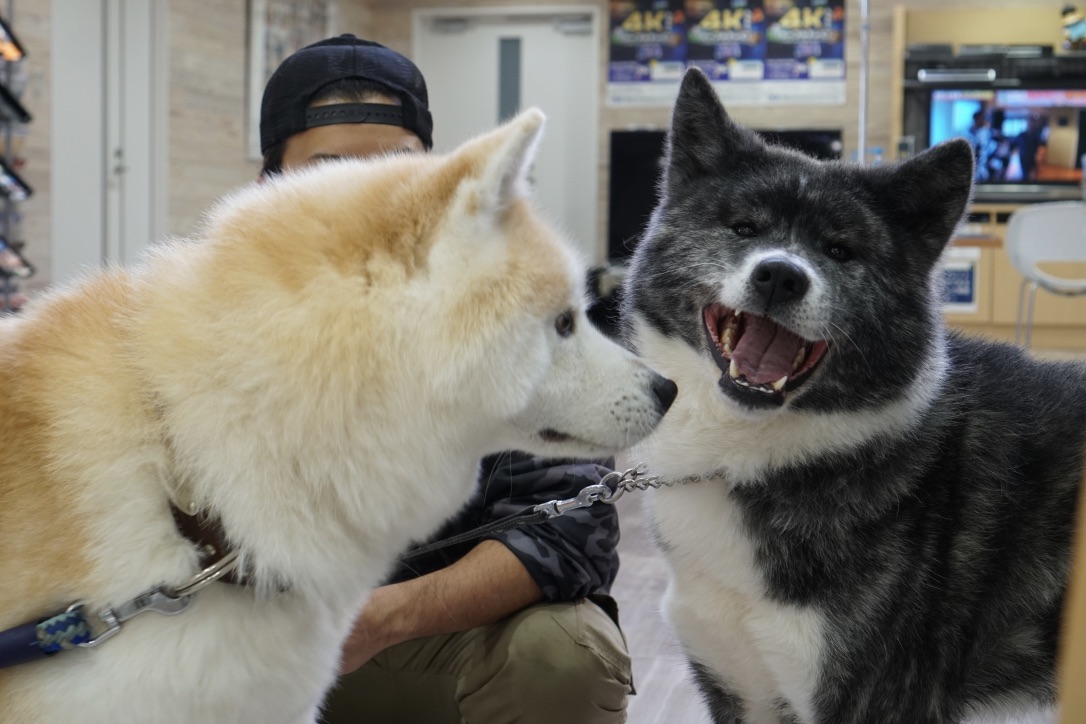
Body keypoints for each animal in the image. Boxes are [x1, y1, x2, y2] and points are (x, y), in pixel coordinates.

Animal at [621, 69, 1086, 724]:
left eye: (840, 250)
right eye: (743, 228)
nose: (780, 275)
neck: (746, 457)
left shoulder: (867, 699)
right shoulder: (741, 687)